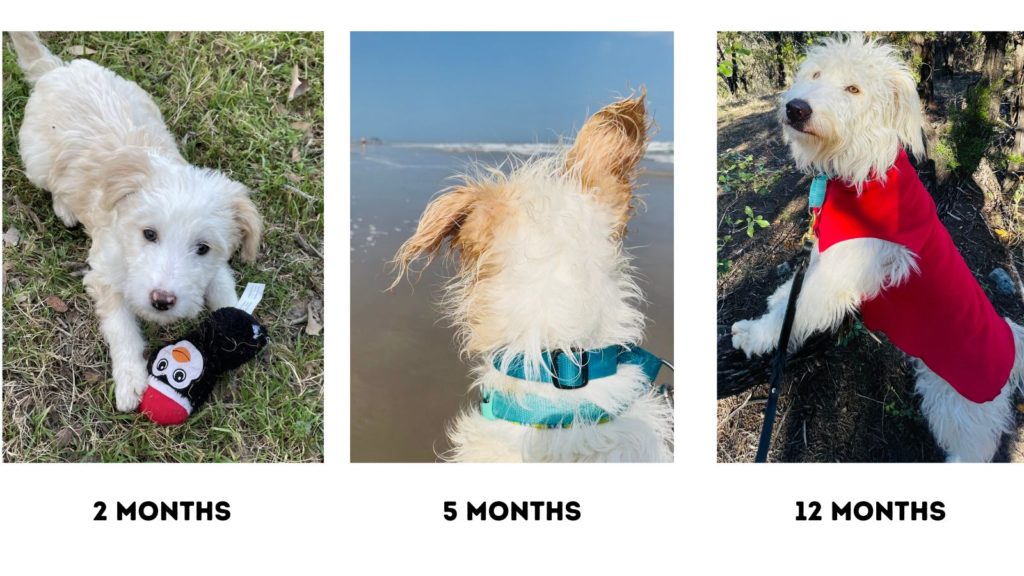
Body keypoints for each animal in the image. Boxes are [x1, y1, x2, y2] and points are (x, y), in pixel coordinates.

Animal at [9, 32, 264, 407]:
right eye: (149, 234)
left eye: (202, 248)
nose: (162, 301)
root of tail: (57, 69)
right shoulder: (103, 274)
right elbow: (121, 327)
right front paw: (130, 378)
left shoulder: (215, 266)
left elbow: (222, 287)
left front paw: (237, 323)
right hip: (37, 159)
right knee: (52, 182)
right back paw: (64, 206)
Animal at [733, 32, 1019, 461]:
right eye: (816, 75)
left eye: (853, 89)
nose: (796, 108)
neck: (860, 169)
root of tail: (1013, 347)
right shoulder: (825, 253)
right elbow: (791, 292)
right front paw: (770, 306)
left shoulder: (841, 271)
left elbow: (794, 310)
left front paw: (755, 335)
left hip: (959, 407)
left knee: (976, 448)